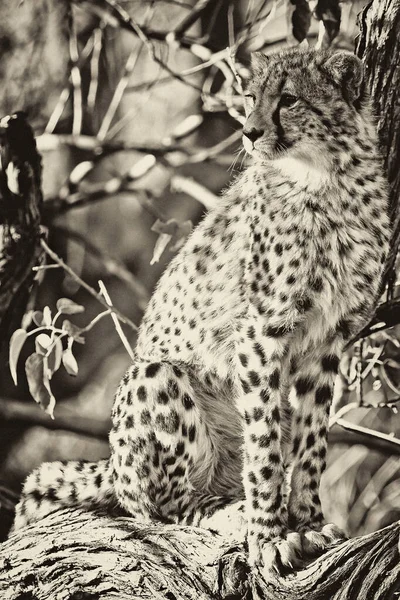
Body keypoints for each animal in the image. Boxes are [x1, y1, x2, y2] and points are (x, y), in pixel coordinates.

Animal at [13, 50, 390, 576]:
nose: (249, 132)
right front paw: (269, 536)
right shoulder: (260, 332)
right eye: (251, 97)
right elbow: (265, 443)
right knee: (166, 509)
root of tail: (112, 464)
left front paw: (309, 521)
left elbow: (311, 440)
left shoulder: (330, 338)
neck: (328, 178)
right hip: (155, 376)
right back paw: (229, 513)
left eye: (288, 99)